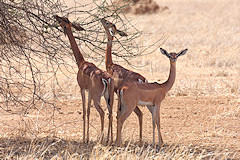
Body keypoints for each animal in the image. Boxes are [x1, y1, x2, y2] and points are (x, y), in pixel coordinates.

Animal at [54, 15, 114, 144]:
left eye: (62, 20)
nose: (55, 16)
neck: (82, 63)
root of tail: (106, 78)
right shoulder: (89, 92)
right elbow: (88, 112)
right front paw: (87, 138)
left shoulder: (82, 89)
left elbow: (84, 111)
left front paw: (83, 138)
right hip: (108, 97)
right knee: (111, 113)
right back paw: (110, 140)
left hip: (98, 98)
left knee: (102, 113)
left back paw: (101, 140)